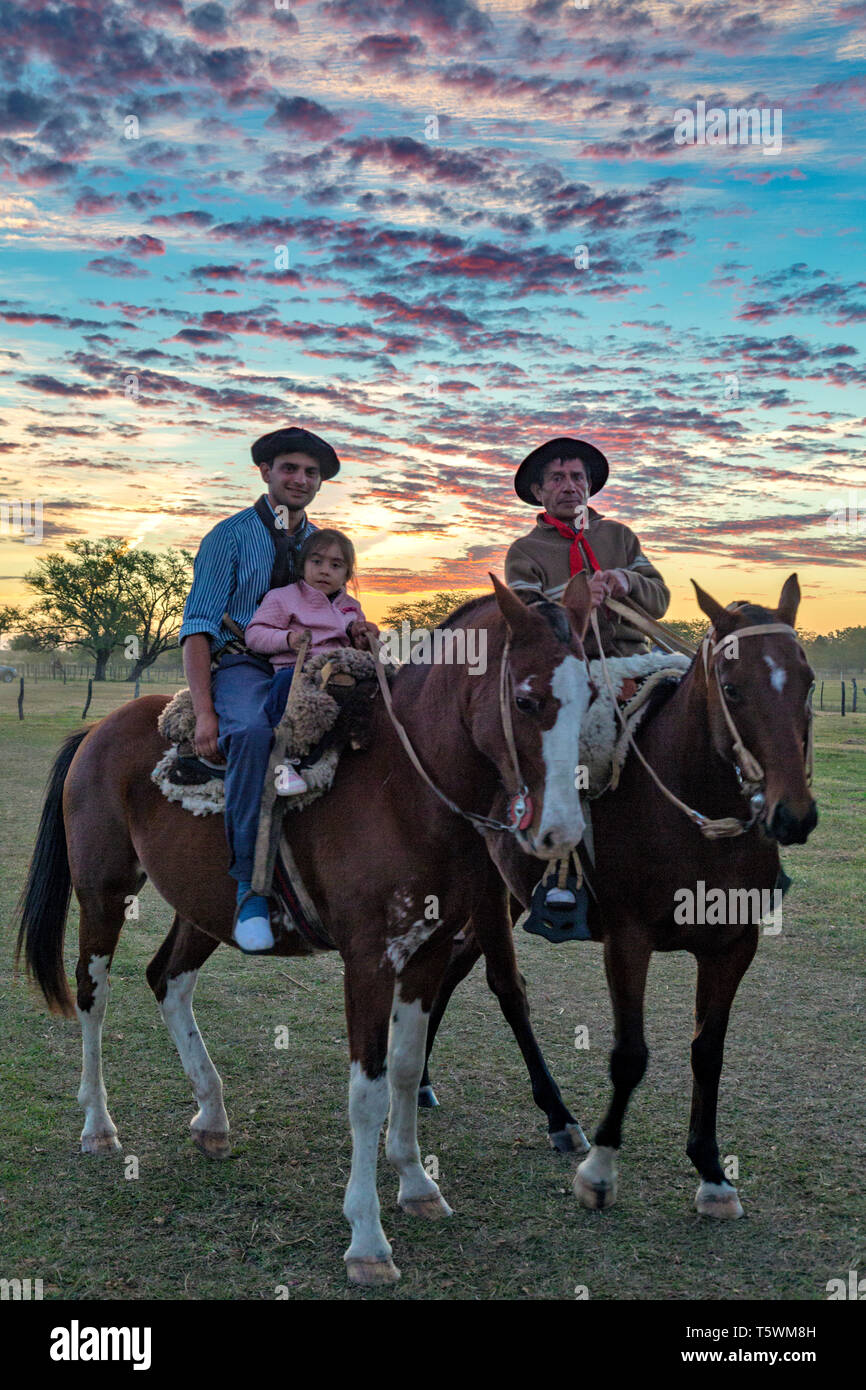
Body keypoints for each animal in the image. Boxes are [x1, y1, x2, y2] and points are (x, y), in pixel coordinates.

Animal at [15, 572, 594, 1278]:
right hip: (103, 893)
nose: (561, 831)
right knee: (93, 994)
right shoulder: (369, 961)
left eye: (594, 694)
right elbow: (367, 1092)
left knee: (167, 979)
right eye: (527, 699)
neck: (403, 788)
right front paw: (367, 1238)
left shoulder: (424, 958)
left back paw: (211, 1115)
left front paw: (416, 1184)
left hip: (204, 908)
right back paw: (98, 1125)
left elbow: (406, 1071)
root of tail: (99, 729)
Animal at [419, 572, 817, 1217]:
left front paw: (712, 1173)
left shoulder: (735, 945)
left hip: (511, 893)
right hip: (485, 893)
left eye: (806, 682)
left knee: (453, 968)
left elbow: (708, 1051)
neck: (695, 816)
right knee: (507, 988)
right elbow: (630, 1055)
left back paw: (425, 1081)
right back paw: (558, 1117)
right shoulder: (628, 941)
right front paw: (600, 1172)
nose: (792, 815)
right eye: (732, 688)